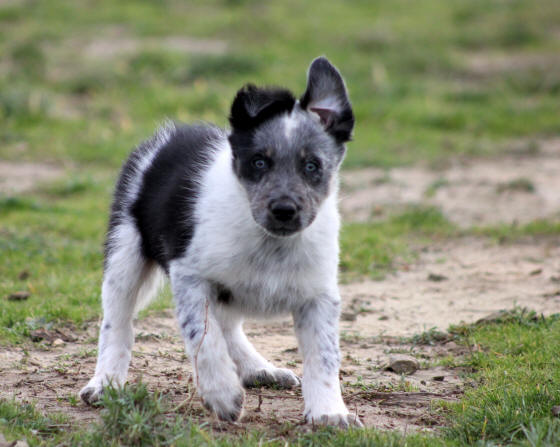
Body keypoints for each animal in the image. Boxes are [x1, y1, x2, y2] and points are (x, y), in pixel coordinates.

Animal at [80, 57, 364, 430]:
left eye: (312, 166)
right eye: (259, 162)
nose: (284, 210)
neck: (270, 245)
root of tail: (170, 135)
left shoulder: (319, 296)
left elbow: (325, 357)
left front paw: (329, 412)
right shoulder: (189, 275)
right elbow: (204, 338)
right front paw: (222, 395)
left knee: (229, 324)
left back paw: (258, 368)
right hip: (124, 256)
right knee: (117, 323)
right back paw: (105, 382)